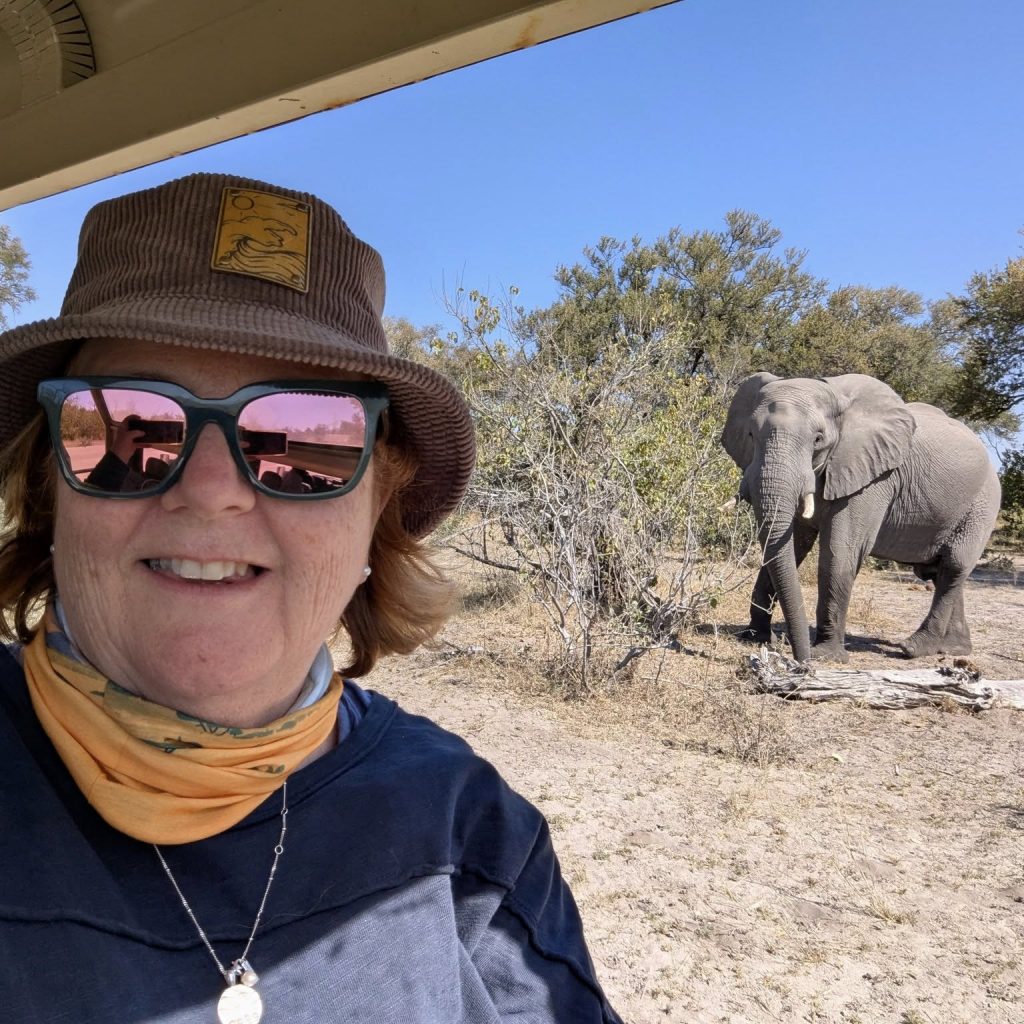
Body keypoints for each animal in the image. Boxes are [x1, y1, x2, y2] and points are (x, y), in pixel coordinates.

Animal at [721, 372, 1001, 663]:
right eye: (751, 434)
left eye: (818, 439)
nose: (801, 660)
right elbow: (791, 546)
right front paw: (754, 637)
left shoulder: (874, 479)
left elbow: (839, 553)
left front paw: (826, 656)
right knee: (939, 571)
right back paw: (954, 649)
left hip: (983, 506)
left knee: (953, 567)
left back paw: (915, 648)